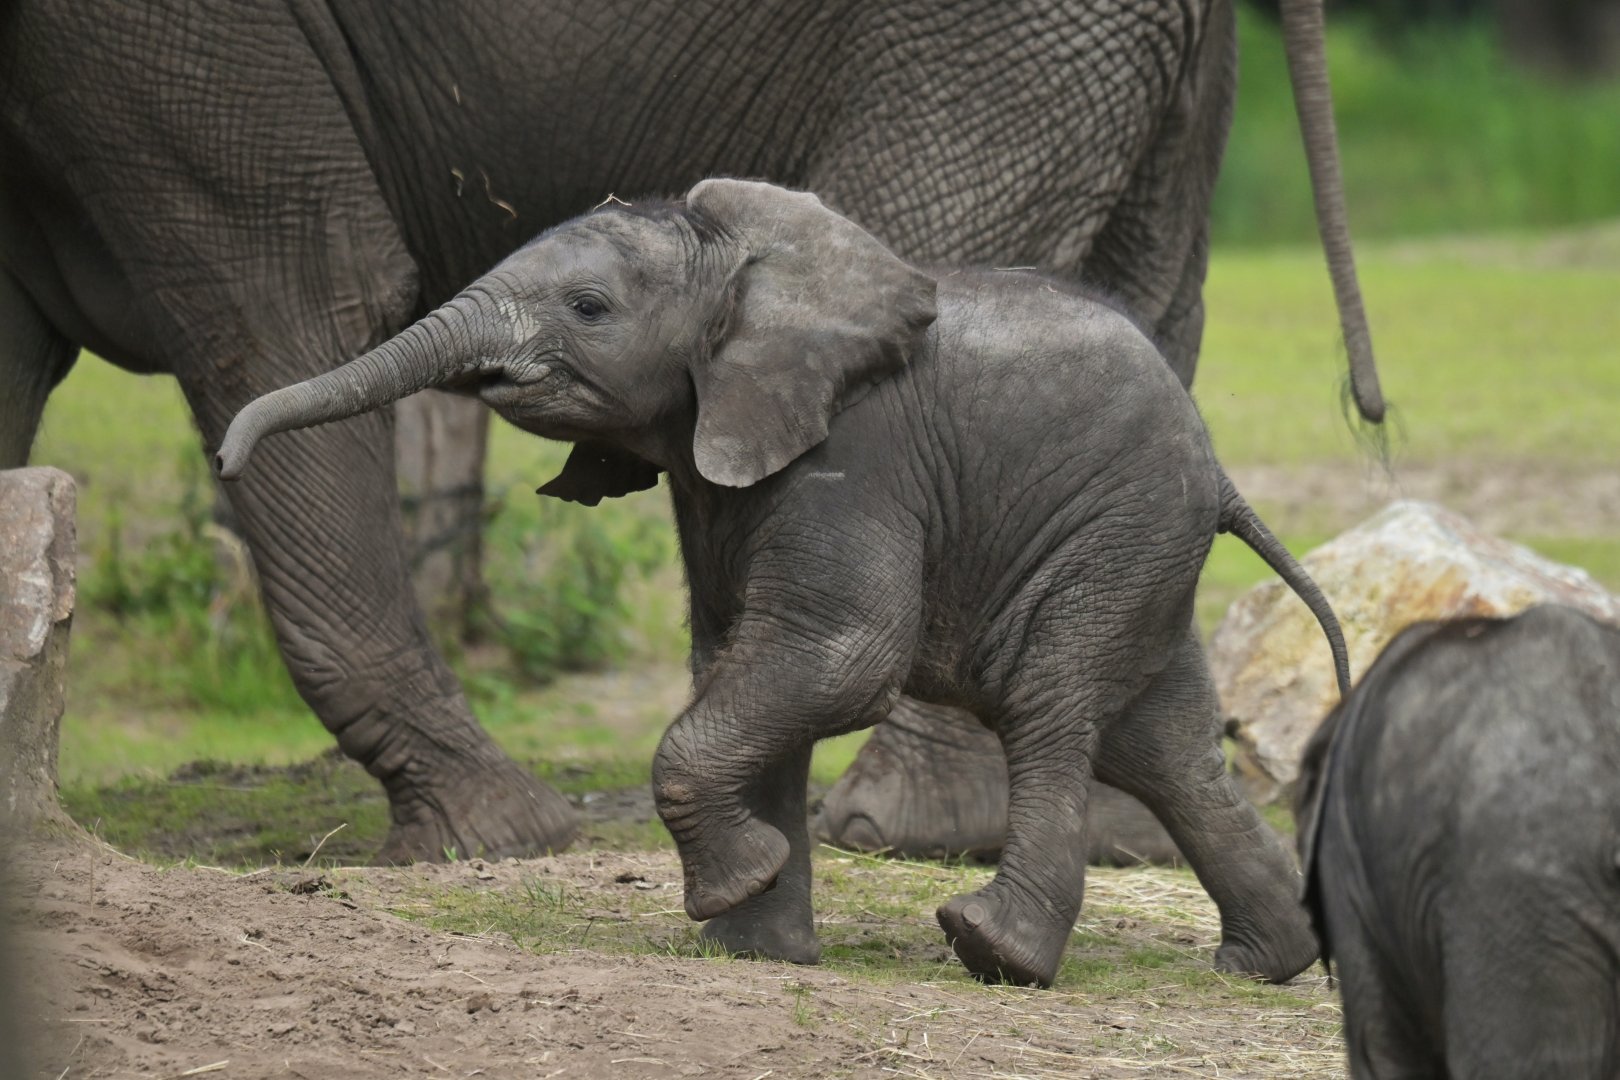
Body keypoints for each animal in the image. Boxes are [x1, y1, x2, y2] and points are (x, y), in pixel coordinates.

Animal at [1, 0, 1380, 863]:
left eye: (592, 308)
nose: (227, 457)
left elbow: (301, 293)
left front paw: (506, 843)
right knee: (1145, 295)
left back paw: (911, 832)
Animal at [215, 177, 1354, 987]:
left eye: (588, 308)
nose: (223, 462)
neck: (740, 271)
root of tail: (1219, 474)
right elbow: (738, 662)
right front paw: (755, 942)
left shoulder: (855, 456)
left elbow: (839, 657)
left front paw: (737, 891)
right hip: (1142, 554)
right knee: (1161, 748)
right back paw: (1266, 964)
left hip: (1111, 531)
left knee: (1052, 706)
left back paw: (994, 953)